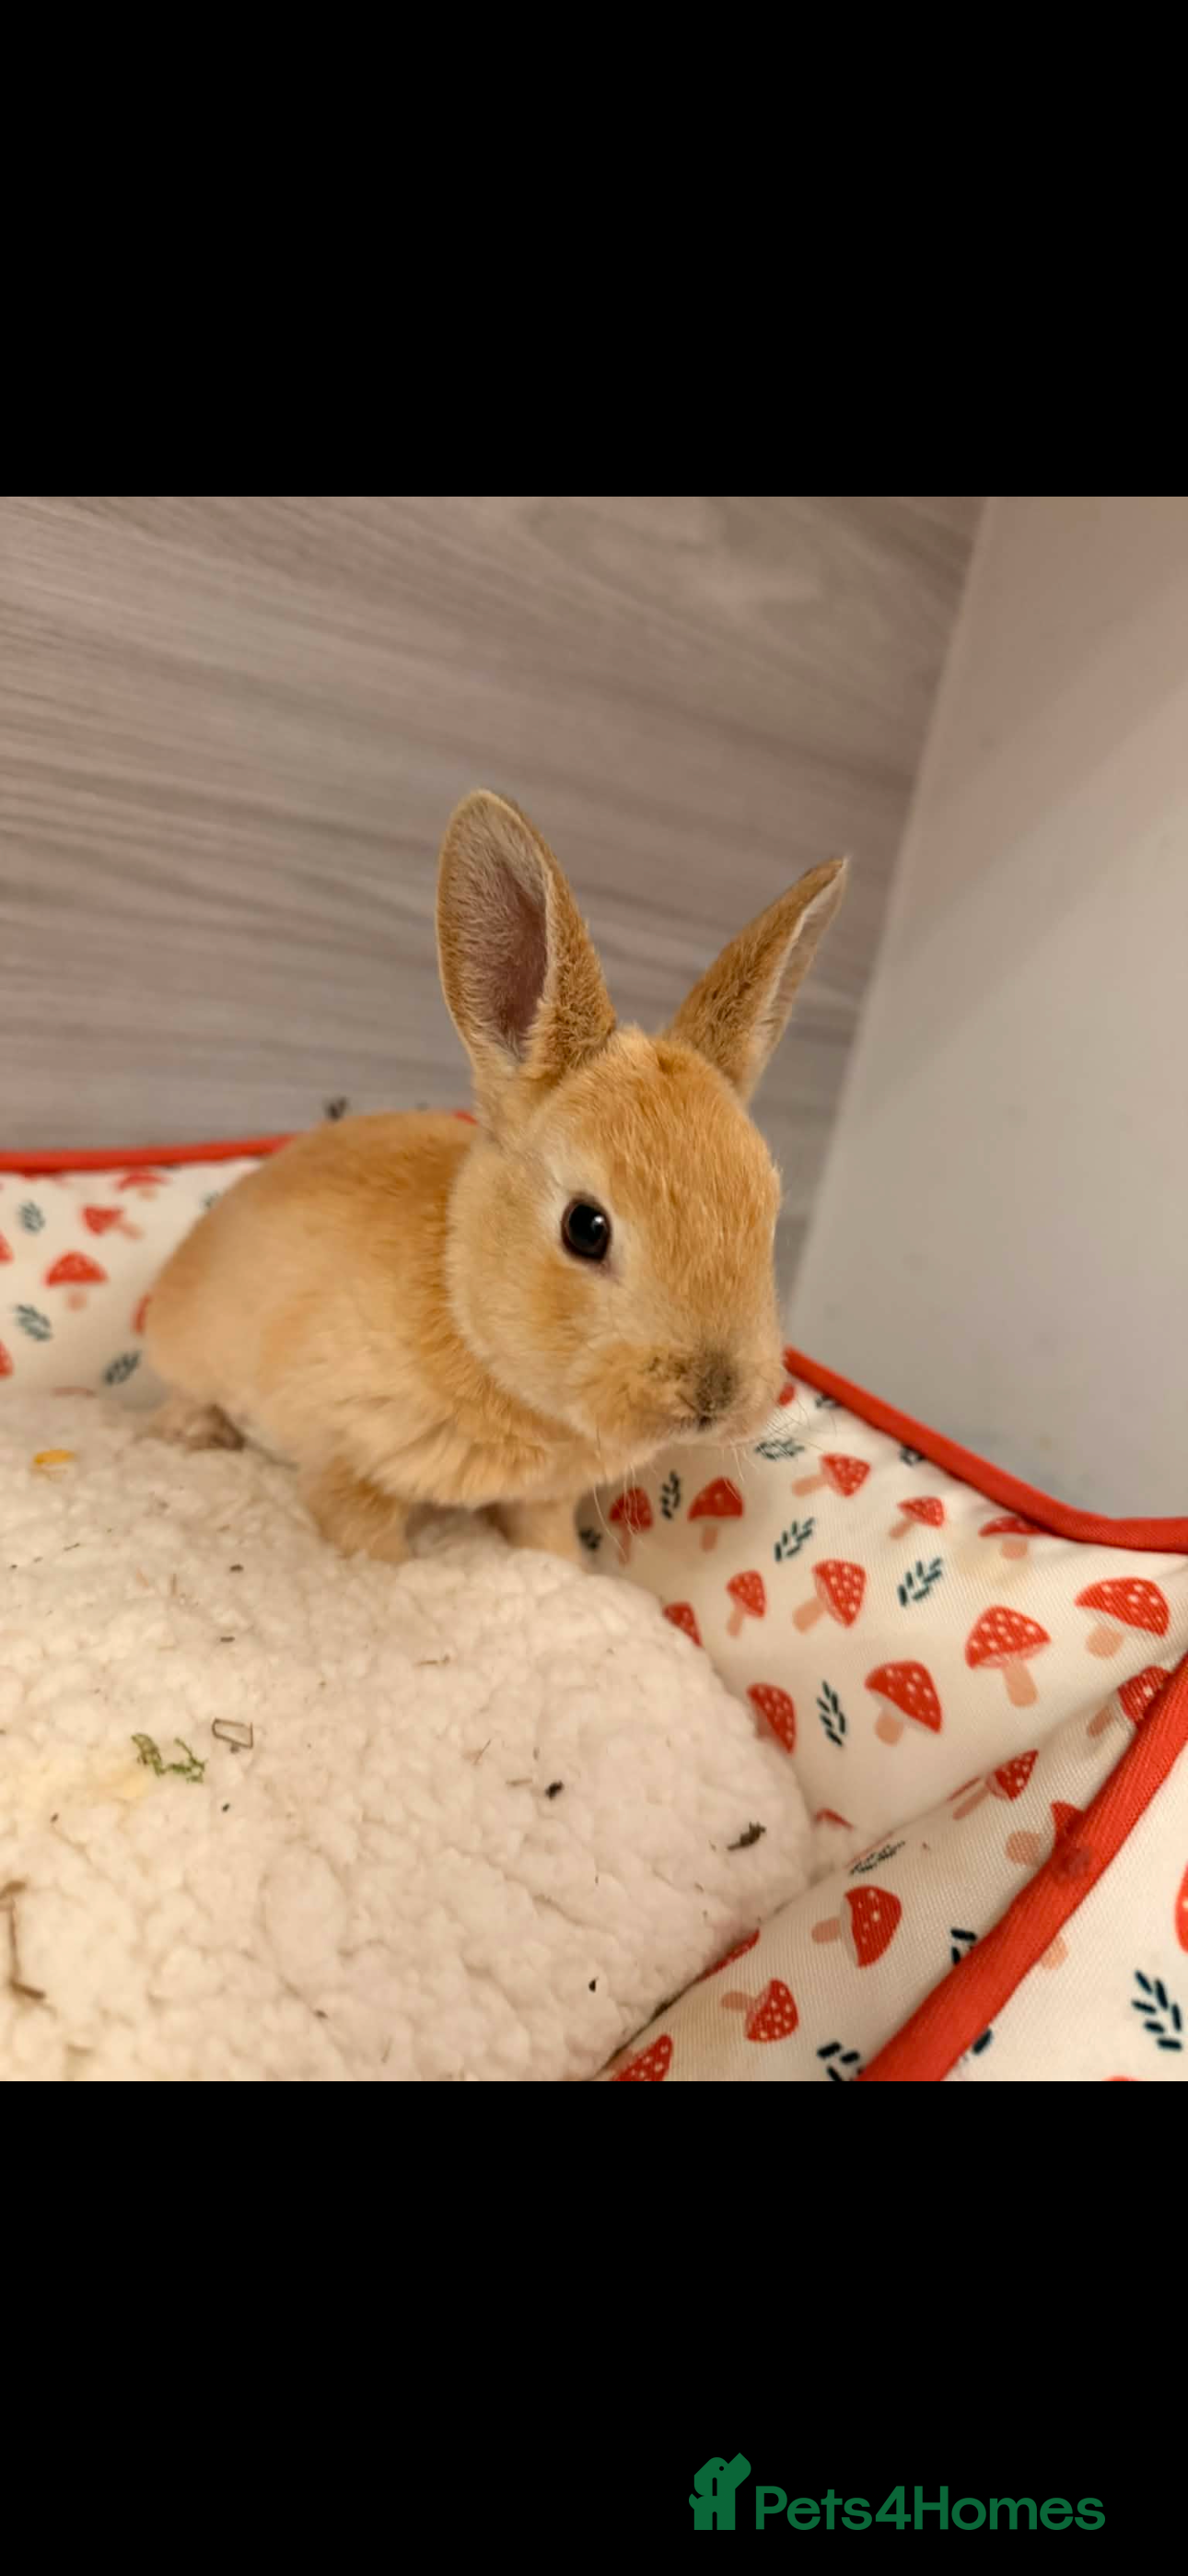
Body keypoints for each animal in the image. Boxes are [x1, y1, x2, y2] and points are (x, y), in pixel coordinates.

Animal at [146, 790, 846, 1569]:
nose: (713, 1398)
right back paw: (190, 1433)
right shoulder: (348, 1461)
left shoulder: (542, 1499)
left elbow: (544, 1541)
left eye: (769, 1219)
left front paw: (570, 1573)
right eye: (585, 1227)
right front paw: (397, 1579)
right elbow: (366, 1540)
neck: (462, 1299)